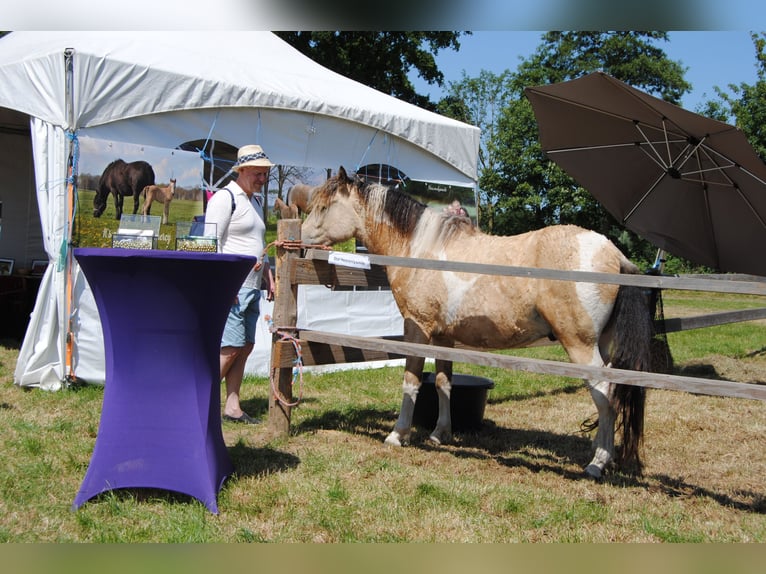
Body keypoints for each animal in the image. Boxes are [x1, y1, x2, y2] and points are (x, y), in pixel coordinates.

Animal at [301, 167, 658, 479]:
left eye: (324, 207)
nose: (301, 241)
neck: (419, 249)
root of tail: (614, 254)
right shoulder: (444, 337)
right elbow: (443, 382)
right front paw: (440, 433)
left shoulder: (416, 328)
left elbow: (411, 381)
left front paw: (398, 434)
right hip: (601, 344)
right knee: (608, 393)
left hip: (580, 346)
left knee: (604, 393)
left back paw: (598, 464)